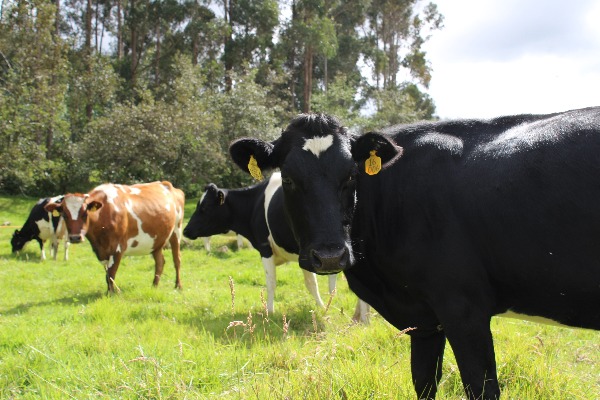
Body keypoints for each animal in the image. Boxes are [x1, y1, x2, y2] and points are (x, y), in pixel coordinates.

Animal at [184, 173, 370, 322]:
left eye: (204, 207)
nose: (186, 230)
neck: (254, 204)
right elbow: (311, 284)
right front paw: (323, 308)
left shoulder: (265, 248)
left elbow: (271, 282)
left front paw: (269, 312)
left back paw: (363, 319)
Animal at [230, 109, 600, 400]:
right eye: (289, 178)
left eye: (350, 175)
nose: (331, 256)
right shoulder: (424, 320)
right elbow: (423, 383)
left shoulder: (464, 309)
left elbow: (481, 388)